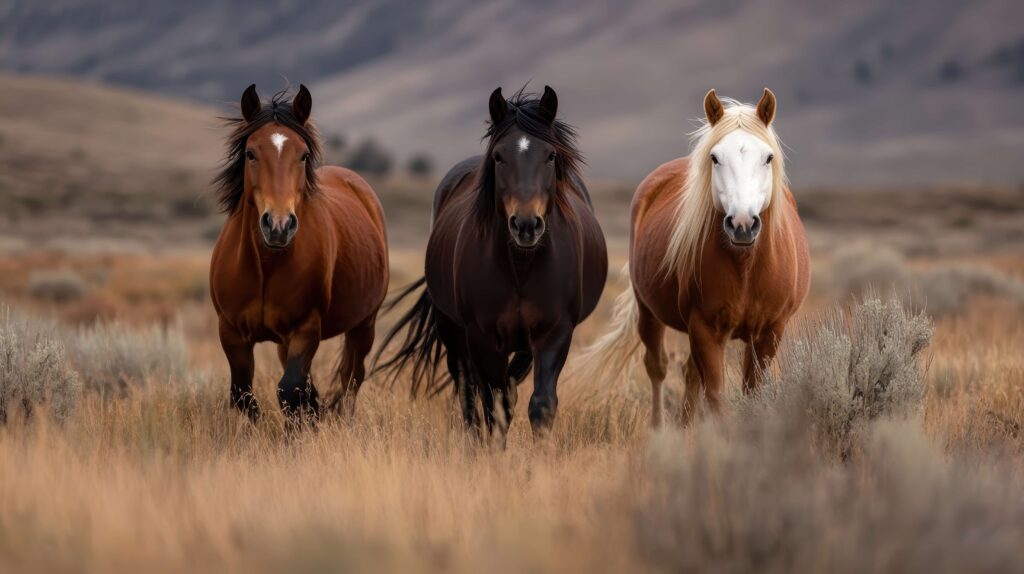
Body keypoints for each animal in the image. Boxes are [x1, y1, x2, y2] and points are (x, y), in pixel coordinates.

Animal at [207, 84, 387, 425]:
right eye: (250, 153)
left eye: (303, 155)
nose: (278, 226)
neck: (266, 265)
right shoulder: (231, 332)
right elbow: (243, 395)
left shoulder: (305, 328)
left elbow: (291, 391)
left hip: (364, 325)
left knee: (351, 378)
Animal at [372, 84, 602, 435]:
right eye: (498, 157)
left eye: (550, 156)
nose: (526, 225)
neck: (520, 267)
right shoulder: (481, 337)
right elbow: (492, 403)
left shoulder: (555, 331)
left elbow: (540, 404)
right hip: (451, 327)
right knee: (467, 388)